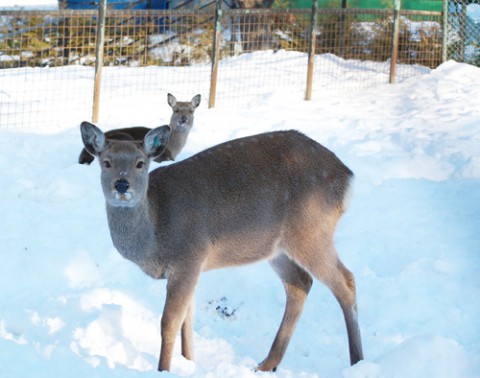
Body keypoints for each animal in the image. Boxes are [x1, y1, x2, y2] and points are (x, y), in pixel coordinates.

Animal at [79, 122, 364, 372]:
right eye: (106, 162)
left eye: (141, 163)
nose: (122, 184)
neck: (155, 233)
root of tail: (348, 177)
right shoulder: (191, 267)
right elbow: (187, 318)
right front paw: (189, 361)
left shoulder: (188, 256)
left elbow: (169, 322)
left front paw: (164, 369)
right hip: (277, 247)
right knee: (300, 283)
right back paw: (267, 363)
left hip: (311, 231)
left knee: (346, 281)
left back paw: (357, 361)